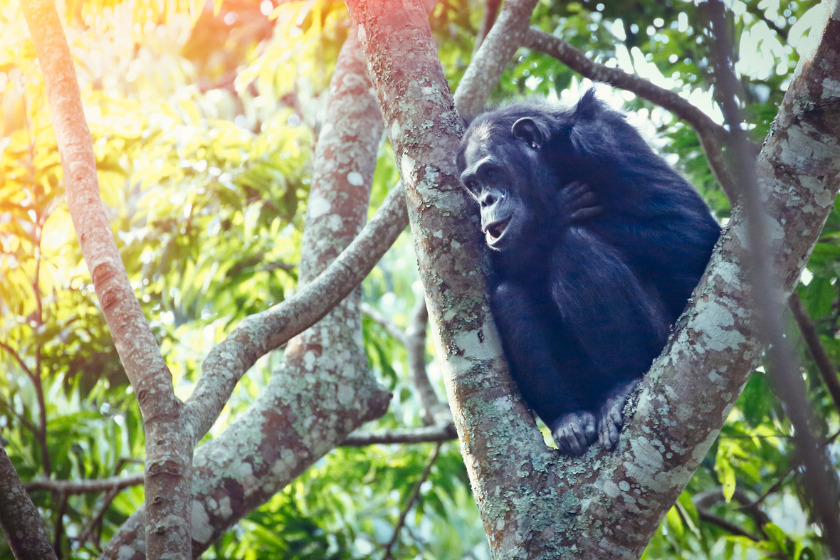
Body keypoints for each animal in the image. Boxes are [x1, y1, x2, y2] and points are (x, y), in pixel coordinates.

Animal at [456, 88, 720, 456]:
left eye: (492, 172)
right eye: (474, 184)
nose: (487, 200)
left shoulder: (605, 143)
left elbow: (692, 231)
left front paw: (546, 219)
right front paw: (548, 220)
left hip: (660, 342)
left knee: (575, 248)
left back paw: (621, 387)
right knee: (510, 297)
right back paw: (569, 418)